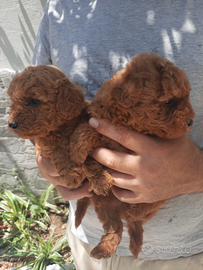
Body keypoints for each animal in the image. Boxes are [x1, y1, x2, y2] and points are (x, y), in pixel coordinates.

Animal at [70, 53, 195, 260]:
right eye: (168, 101)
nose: (191, 121)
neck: (128, 123)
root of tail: (123, 212)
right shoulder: (99, 120)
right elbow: (89, 131)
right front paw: (77, 149)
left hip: (148, 204)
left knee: (134, 220)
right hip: (104, 205)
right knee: (116, 228)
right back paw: (103, 249)